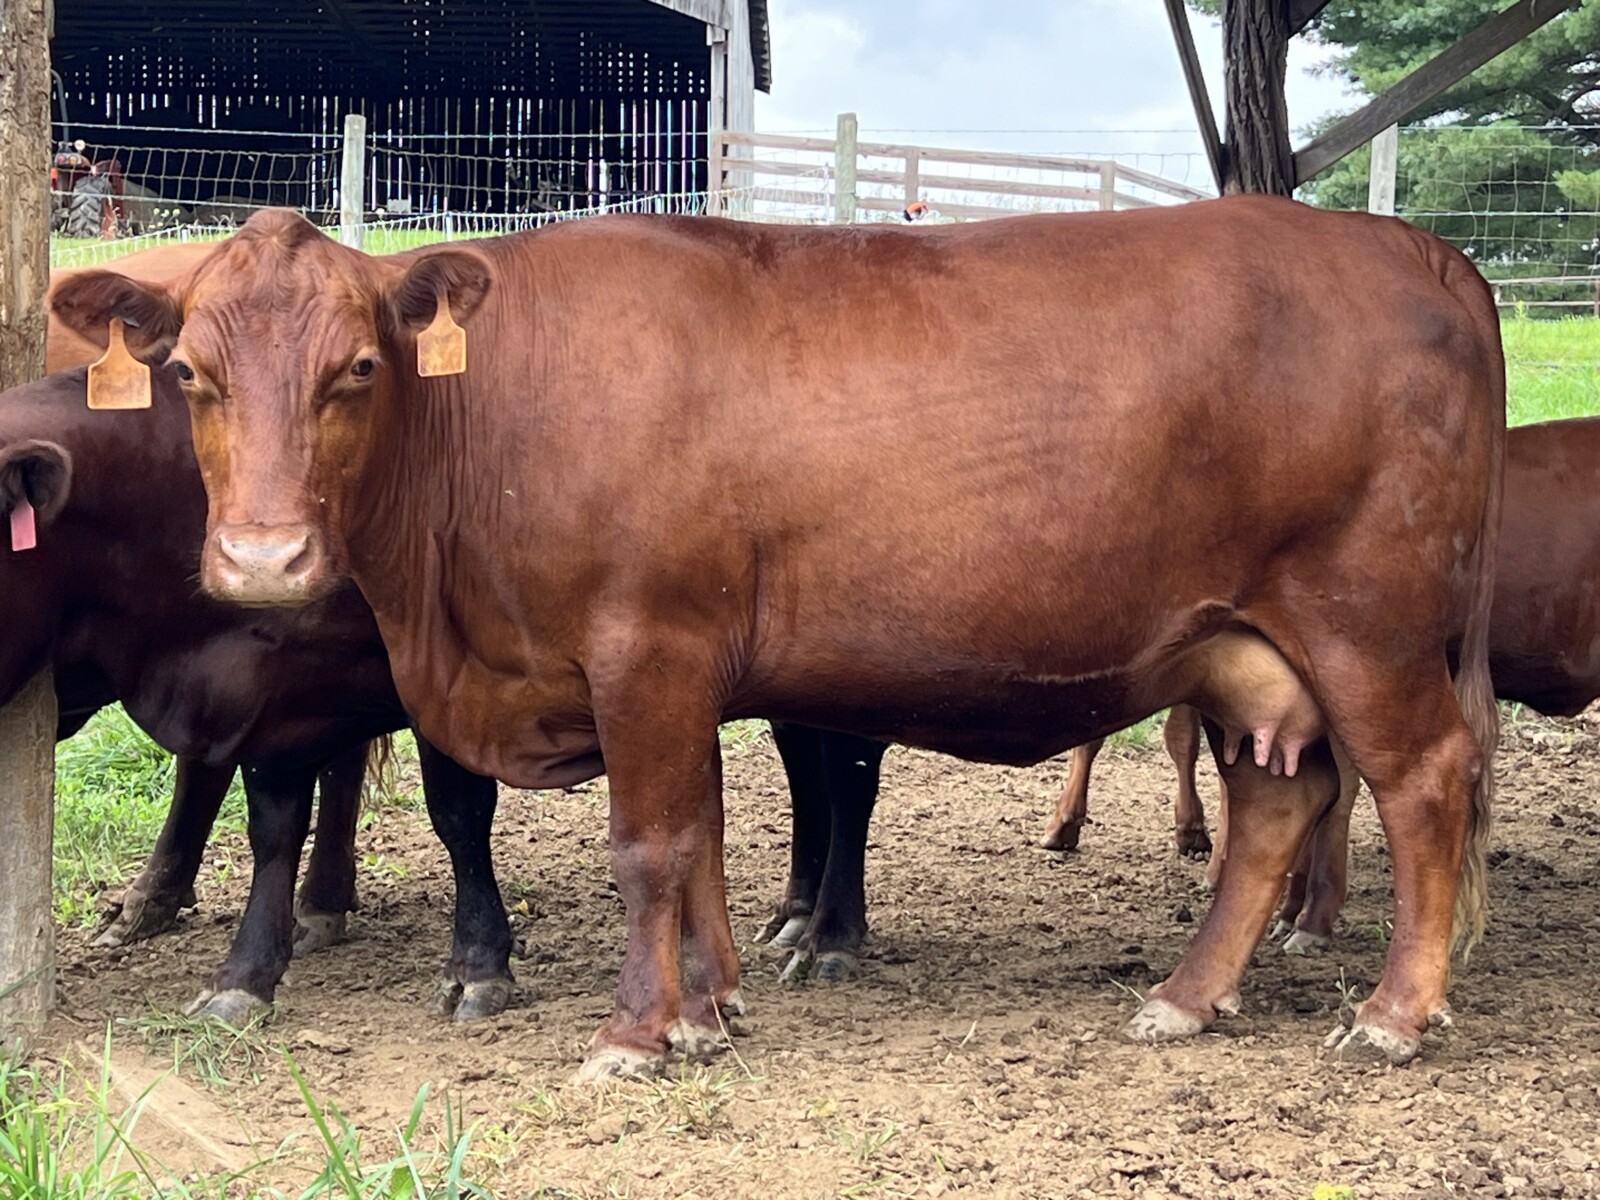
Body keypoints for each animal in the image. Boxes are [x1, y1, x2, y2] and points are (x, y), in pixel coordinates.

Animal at [52, 195, 1505, 1078]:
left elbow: (651, 845)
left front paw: (640, 1030)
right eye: (189, 375)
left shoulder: (646, 648)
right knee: (1277, 804)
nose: (263, 560)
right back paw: (1190, 994)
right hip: (1244, 649)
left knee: (1426, 781)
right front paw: (713, 1007)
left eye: (357, 368)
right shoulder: (681, 671)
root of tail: (1409, 245)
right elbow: (699, 837)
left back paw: (1394, 1012)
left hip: (1365, 625)